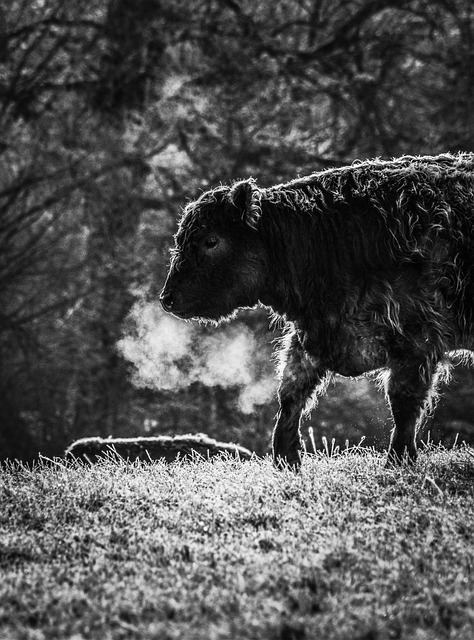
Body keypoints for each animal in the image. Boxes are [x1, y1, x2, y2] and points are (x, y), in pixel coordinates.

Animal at [160, 152, 474, 468]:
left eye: (211, 241)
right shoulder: (312, 335)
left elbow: (403, 403)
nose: (167, 298)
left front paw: (398, 460)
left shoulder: (416, 342)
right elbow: (291, 393)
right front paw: (286, 459)